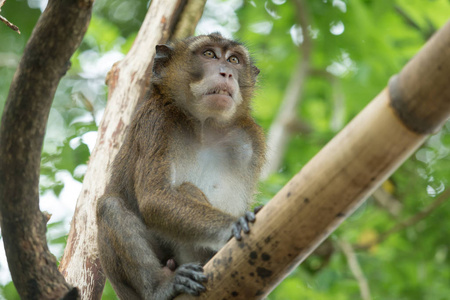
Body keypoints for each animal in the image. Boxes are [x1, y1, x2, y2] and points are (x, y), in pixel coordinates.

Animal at [95, 33, 264, 300]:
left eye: (234, 60)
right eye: (209, 54)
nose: (226, 72)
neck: (205, 125)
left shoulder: (247, 141)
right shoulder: (155, 121)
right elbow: (154, 197)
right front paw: (233, 224)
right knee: (110, 206)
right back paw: (159, 287)